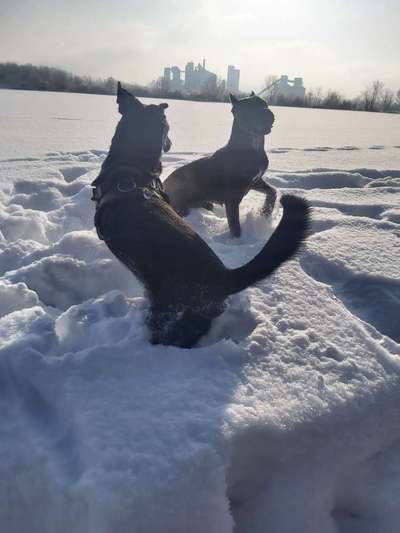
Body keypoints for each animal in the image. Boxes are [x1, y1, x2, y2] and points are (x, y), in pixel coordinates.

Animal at [164, 93, 276, 237]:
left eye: (264, 103)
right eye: (248, 110)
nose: (267, 113)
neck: (252, 146)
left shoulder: (256, 180)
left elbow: (272, 191)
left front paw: (266, 212)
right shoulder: (232, 198)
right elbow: (235, 227)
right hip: (180, 201)